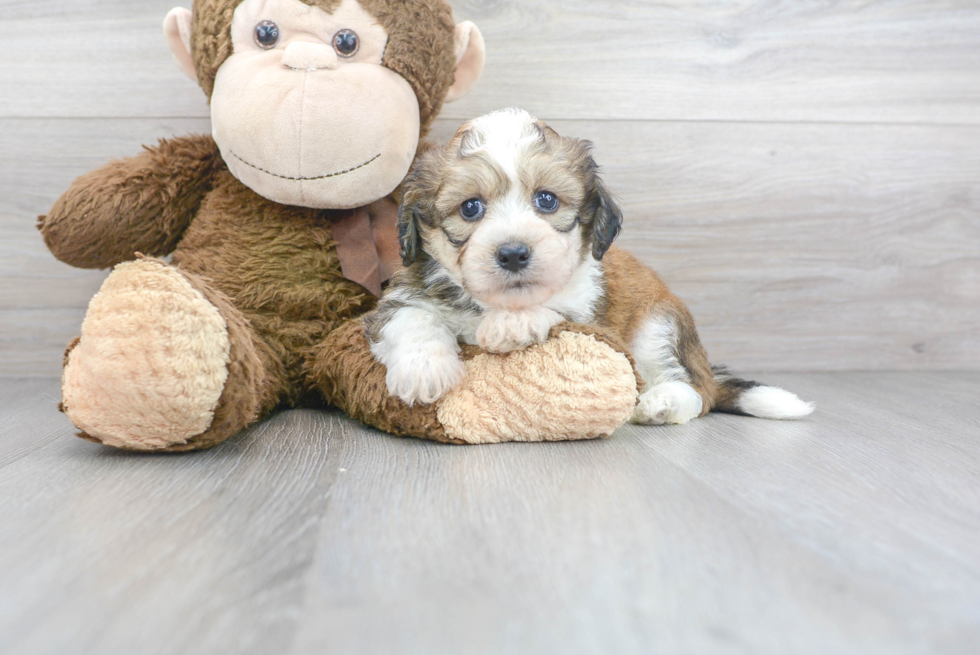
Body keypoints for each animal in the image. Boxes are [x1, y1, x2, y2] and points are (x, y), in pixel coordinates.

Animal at [364, 107, 816, 426]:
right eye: (470, 207)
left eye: (547, 200)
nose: (513, 253)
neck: (491, 303)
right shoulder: (404, 291)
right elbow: (410, 317)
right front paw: (424, 370)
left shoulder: (590, 311)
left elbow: (557, 304)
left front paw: (513, 324)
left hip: (658, 327)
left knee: (697, 392)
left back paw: (662, 402)